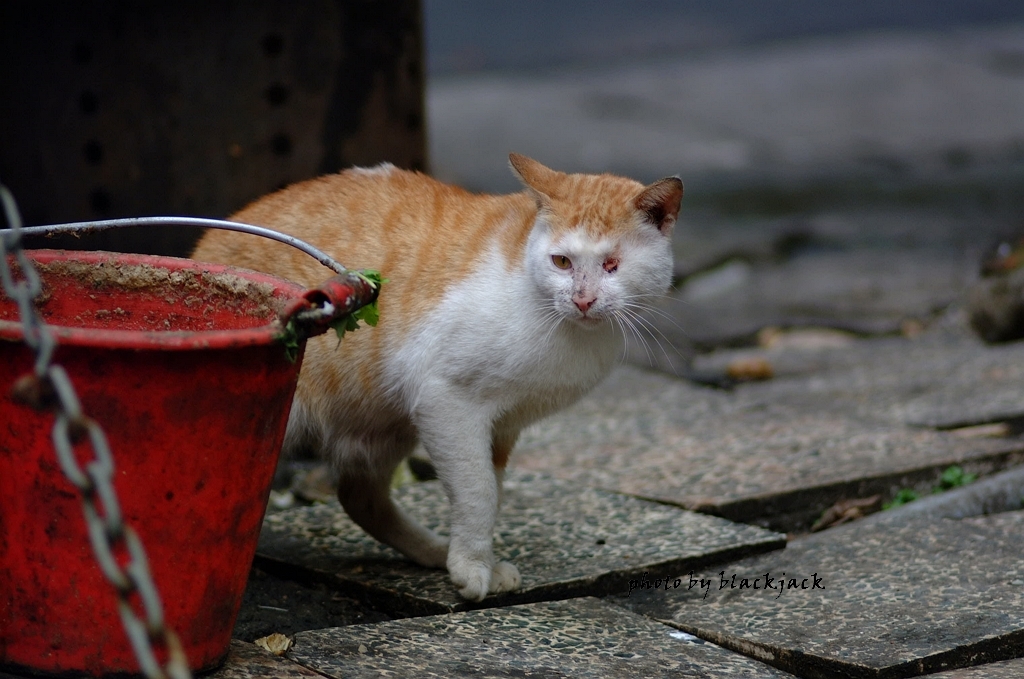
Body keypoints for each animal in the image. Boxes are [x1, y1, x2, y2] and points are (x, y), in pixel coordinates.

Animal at [194, 155, 684, 602]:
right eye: (562, 261)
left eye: (612, 265)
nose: (583, 300)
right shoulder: (446, 400)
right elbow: (478, 491)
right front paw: (471, 567)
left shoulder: (503, 425)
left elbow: (492, 489)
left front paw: (470, 556)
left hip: (382, 418)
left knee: (359, 496)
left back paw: (430, 550)